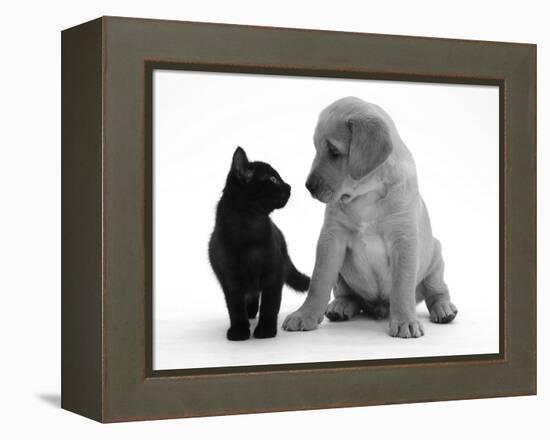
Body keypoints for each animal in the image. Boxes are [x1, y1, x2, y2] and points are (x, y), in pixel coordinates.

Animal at [209, 148, 310, 340]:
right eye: (272, 179)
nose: (289, 186)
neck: (251, 225)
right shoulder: (230, 278)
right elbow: (235, 307)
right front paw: (239, 331)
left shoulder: (273, 273)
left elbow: (270, 305)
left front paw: (266, 330)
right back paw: (249, 314)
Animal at [282, 96, 460, 336]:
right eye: (316, 149)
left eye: (334, 151)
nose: (308, 186)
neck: (367, 195)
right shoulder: (331, 238)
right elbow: (319, 281)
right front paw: (304, 314)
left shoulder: (403, 240)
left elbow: (402, 287)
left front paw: (405, 320)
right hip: (343, 278)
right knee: (349, 295)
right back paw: (341, 306)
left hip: (435, 259)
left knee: (437, 291)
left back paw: (444, 309)